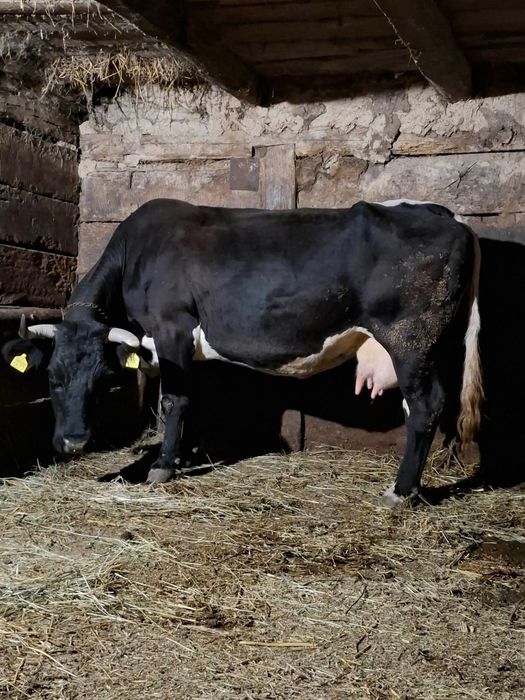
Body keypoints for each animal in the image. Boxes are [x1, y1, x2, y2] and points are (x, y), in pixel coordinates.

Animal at [2, 198, 482, 505]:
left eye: (103, 383)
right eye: (52, 379)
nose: (74, 442)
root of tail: (443, 214)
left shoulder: (172, 329)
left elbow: (174, 400)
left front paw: (162, 466)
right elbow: (187, 401)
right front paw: (182, 455)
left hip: (411, 341)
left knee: (425, 407)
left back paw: (401, 492)